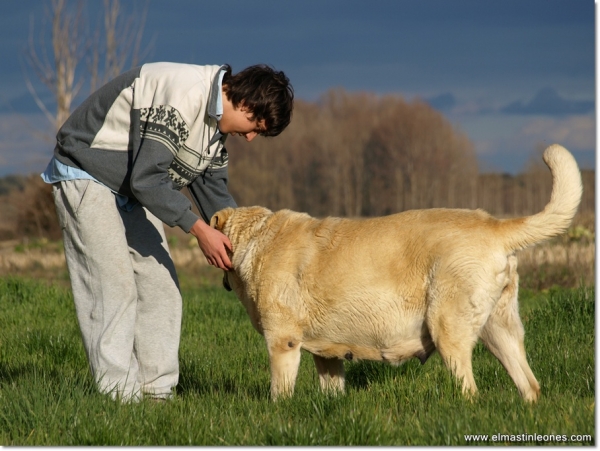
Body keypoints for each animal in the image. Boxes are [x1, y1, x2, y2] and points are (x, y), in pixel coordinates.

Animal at [210, 145, 580, 402]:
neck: (255, 238)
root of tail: (493, 224)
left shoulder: (283, 341)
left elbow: (280, 392)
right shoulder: (326, 356)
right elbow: (331, 388)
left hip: (448, 328)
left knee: (469, 389)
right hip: (499, 330)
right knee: (529, 384)